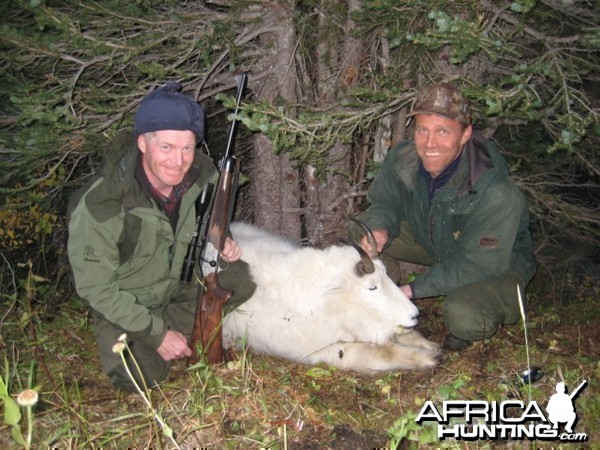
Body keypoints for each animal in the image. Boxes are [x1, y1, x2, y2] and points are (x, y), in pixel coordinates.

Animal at [223, 221, 442, 372]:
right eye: (372, 287)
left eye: (386, 274)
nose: (414, 315)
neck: (331, 300)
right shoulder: (333, 350)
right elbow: (384, 352)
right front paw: (429, 358)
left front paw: (431, 346)